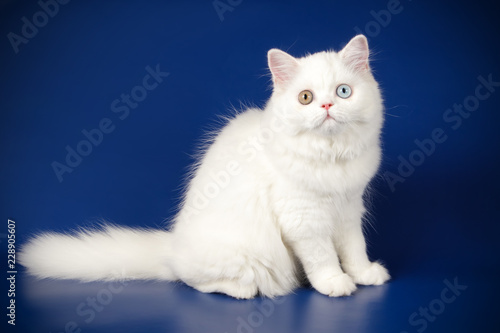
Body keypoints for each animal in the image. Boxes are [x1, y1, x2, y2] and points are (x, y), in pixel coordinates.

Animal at [19, 35, 390, 296]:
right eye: (306, 98)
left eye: (343, 92)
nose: (327, 106)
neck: (331, 157)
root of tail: (171, 246)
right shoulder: (304, 220)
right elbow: (323, 257)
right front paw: (335, 283)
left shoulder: (348, 210)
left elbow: (354, 249)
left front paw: (365, 274)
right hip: (248, 259)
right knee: (195, 281)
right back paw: (244, 291)